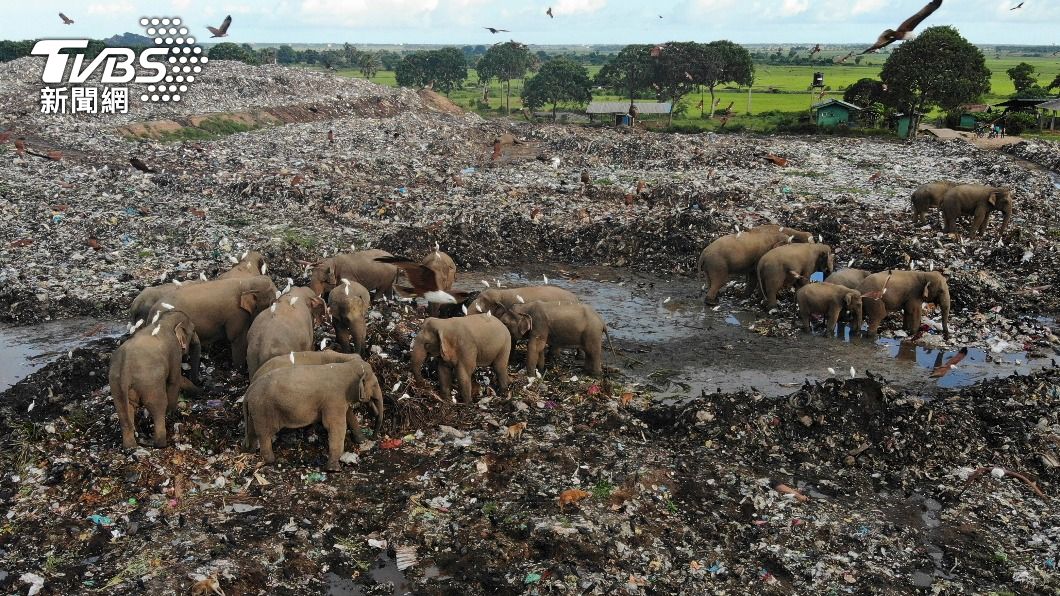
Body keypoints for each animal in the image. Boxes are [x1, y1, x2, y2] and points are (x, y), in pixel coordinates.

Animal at [108, 310, 200, 449]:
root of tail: (125, 367)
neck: (164, 321)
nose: (200, 385)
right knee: (158, 406)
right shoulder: (174, 351)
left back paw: (131, 446)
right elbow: (174, 380)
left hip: (116, 385)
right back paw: (160, 443)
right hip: (150, 383)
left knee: (124, 412)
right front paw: (172, 413)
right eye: (194, 329)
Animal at [243, 358, 384, 471]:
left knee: (252, 431)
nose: (373, 438)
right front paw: (333, 470)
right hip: (263, 410)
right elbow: (336, 426)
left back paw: (250, 451)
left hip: (254, 411)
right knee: (265, 434)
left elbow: (348, 415)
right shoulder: (334, 399)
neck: (346, 366)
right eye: (375, 384)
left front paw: (361, 441)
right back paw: (271, 461)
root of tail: (248, 392)